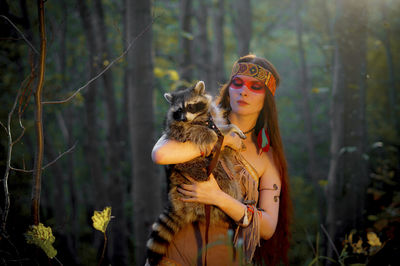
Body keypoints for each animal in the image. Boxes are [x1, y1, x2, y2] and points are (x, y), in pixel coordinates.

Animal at [145, 80, 245, 264]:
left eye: (190, 106)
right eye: (179, 111)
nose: (184, 118)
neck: (200, 118)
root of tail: (178, 205)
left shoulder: (211, 116)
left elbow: (220, 126)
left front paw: (231, 128)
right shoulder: (179, 128)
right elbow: (200, 132)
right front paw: (222, 133)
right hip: (201, 170)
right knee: (225, 181)